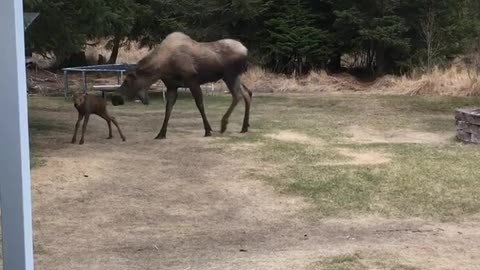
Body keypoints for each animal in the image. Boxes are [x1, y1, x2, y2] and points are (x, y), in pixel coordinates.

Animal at [111, 32, 251, 139]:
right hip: (235, 77)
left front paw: (208, 130)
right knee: (247, 93)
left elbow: (200, 105)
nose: (114, 98)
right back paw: (244, 127)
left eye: (127, 81)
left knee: (237, 95)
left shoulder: (193, 82)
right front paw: (161, 134)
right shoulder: (172, 87)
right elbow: (168, 109)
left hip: (229, 75)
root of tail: (246, 50)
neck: (163, 68)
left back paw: (224, 124)